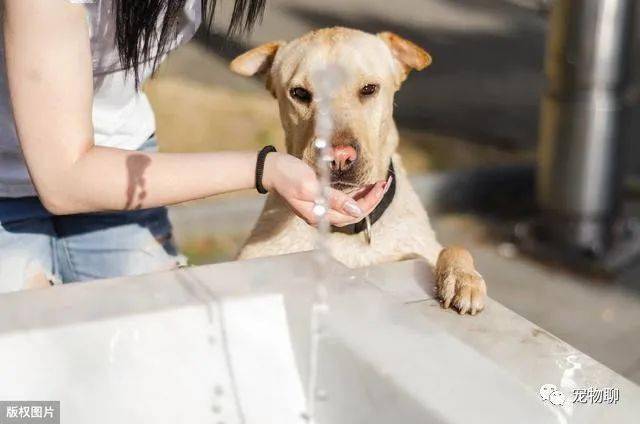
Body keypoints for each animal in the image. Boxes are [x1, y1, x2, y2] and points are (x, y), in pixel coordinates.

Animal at [230, 28, 484, 314]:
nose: (339, 158)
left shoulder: (421, 247)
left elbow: (454, 249)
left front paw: (463, 278)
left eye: (369, 89)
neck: (346, 231)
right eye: (299, 93)